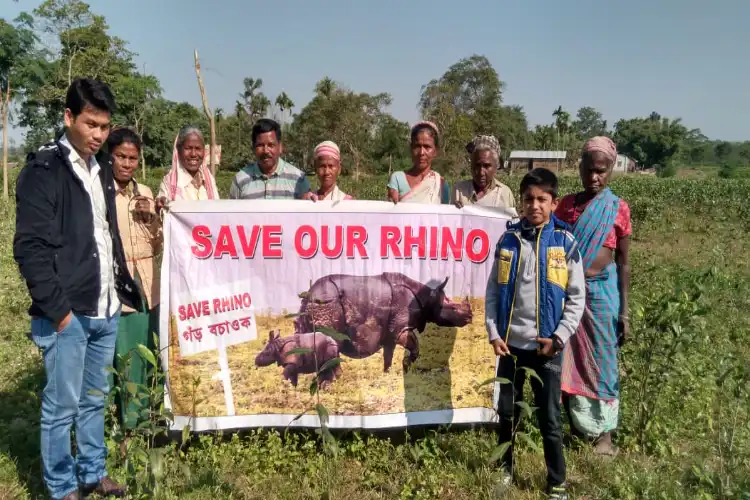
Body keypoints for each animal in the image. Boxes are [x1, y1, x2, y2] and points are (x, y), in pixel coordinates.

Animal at [294, 274, 470, 372]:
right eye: (453, 307)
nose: (470, 317)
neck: (427, 297)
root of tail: (308, 294)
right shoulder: (400, 328)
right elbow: (415, 347)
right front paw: (406, 366)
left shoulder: (391, 333)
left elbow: (388, 356)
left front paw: (389, 373)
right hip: (325, 301)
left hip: (314, 304)